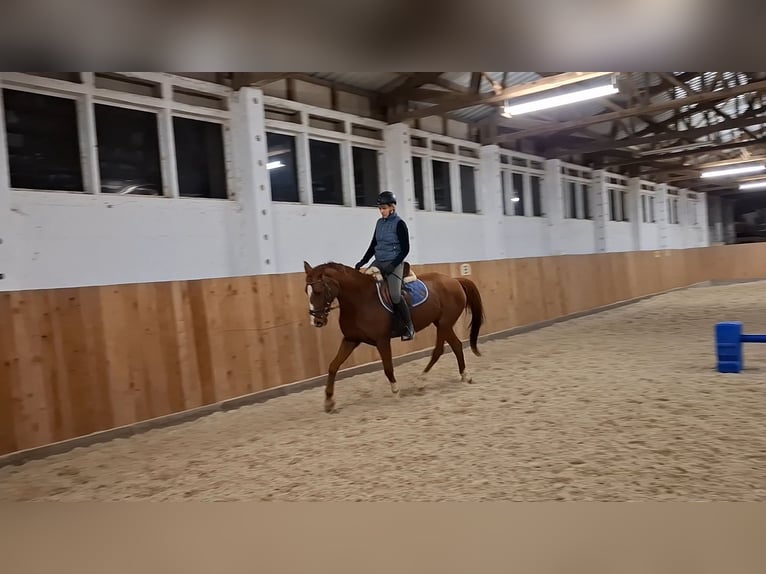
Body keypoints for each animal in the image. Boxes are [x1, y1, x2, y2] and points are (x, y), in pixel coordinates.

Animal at [302, 260, 486, 414]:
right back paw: (457, 377)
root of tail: (454, 280)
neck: (360, 300)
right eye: (306, 291)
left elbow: (388, 367)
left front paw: (396, 391)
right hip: (441, 324)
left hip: (444, 324)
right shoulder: (351, 340)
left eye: (318, 291)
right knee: (453, 346)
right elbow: (333, 366)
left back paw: (426, 380)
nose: (316, 321)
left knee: (441, 349)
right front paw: (329, 402)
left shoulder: (382, 340)